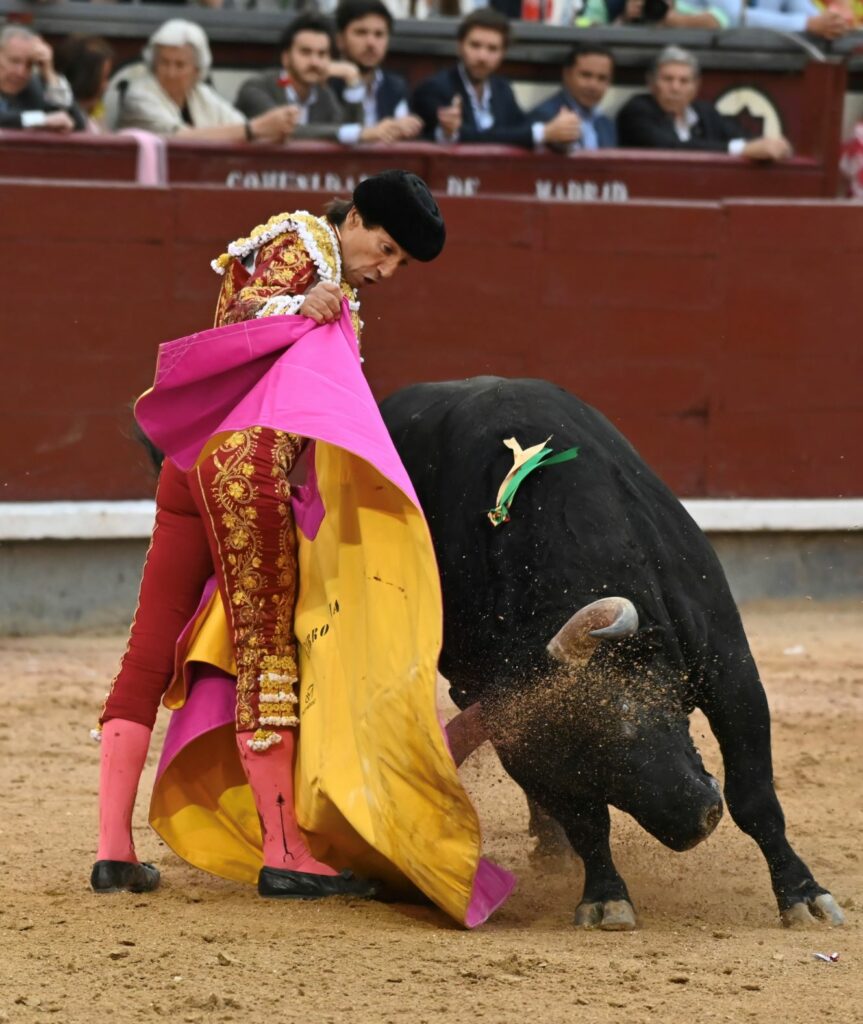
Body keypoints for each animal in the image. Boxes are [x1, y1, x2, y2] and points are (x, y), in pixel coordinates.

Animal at [380, 376, 844, 931]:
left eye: (640, 712)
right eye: (580, 763)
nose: (694, 821)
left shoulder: (731, 671)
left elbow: (754, 795)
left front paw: (804, 895)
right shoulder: (517, 737)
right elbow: (585, 820)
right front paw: (605, 897)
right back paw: (554, 848)